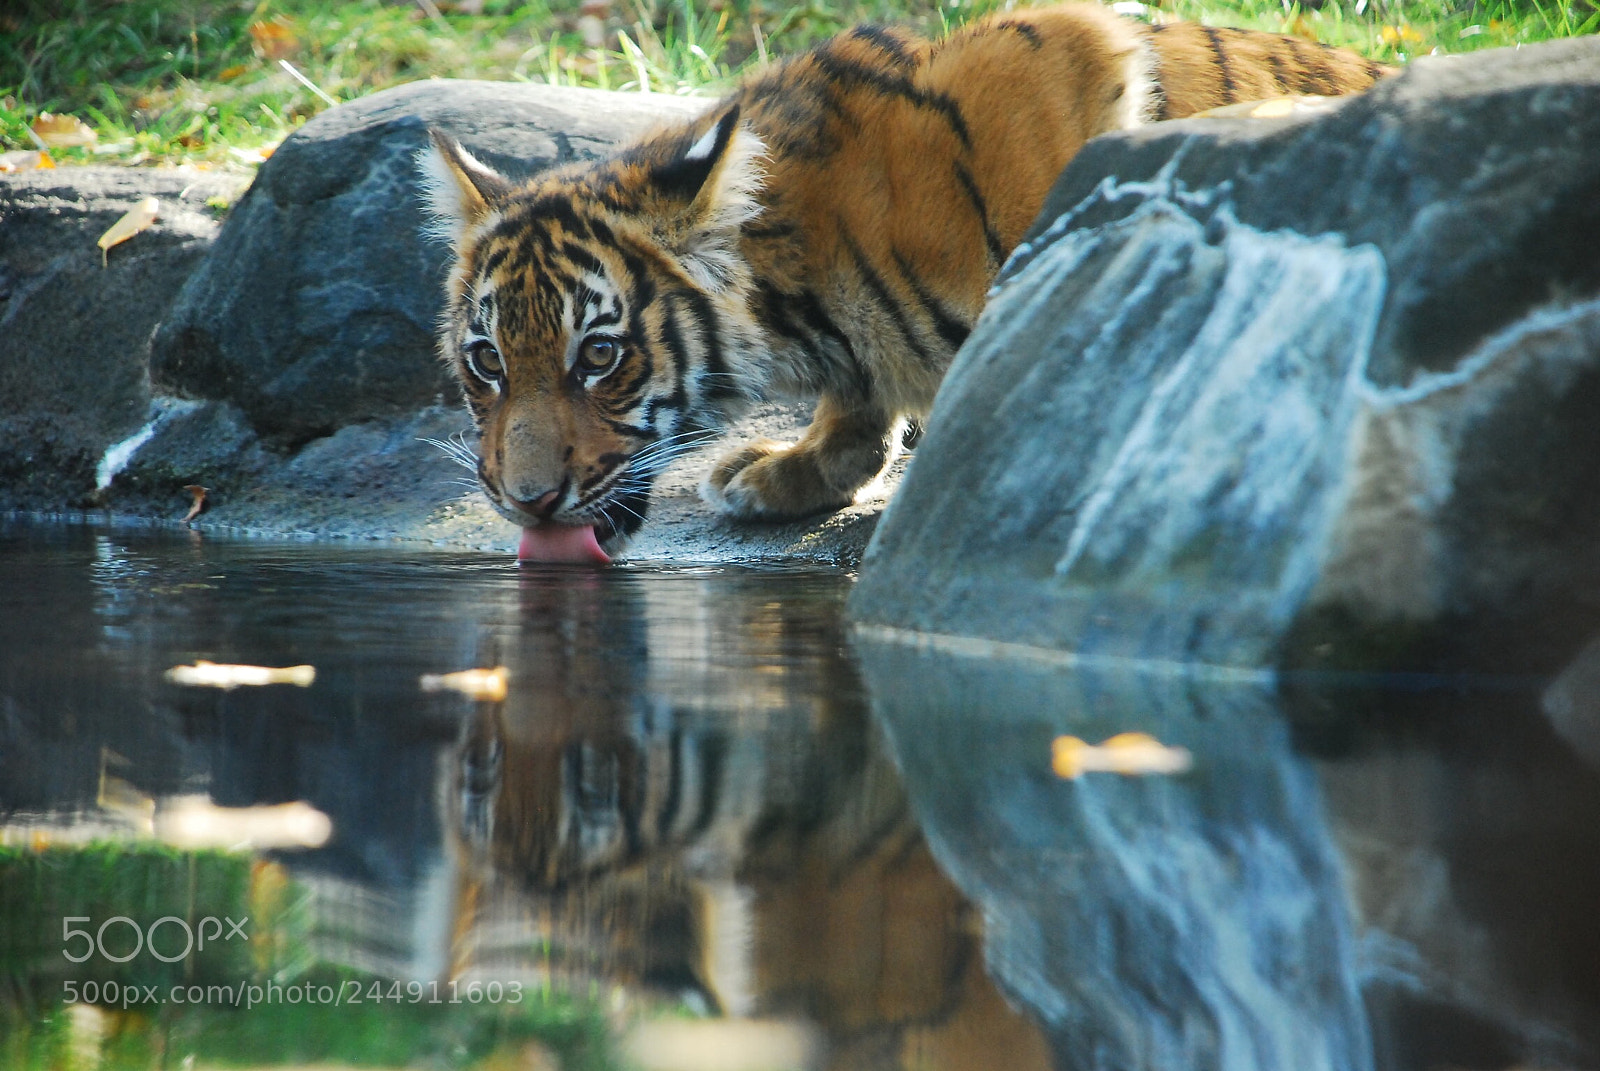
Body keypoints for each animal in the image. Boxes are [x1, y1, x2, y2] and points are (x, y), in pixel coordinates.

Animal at [419, 2, 1390, 562]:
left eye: (599, 356)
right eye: (488, 360)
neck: (804, 292)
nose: (527, 502)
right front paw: (791, 467)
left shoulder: (1073, 52)